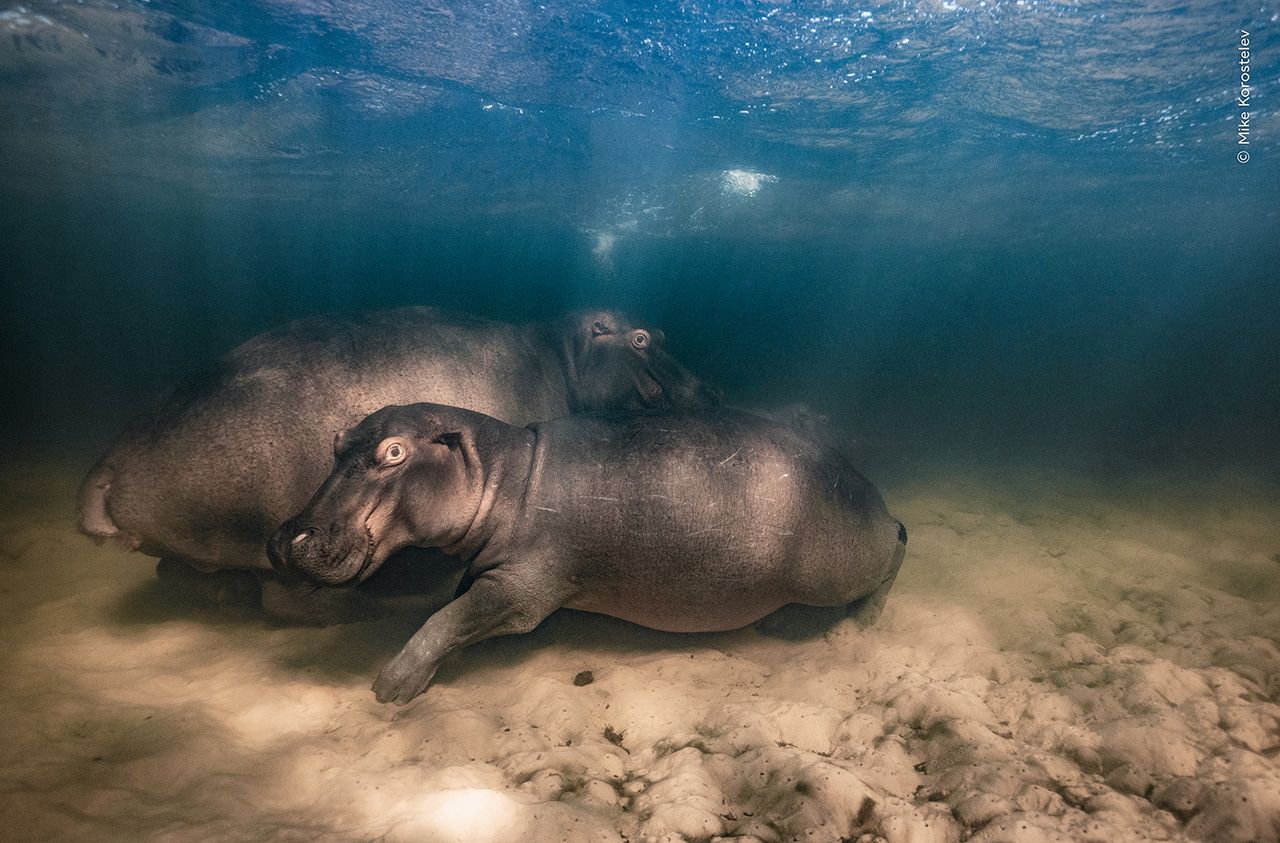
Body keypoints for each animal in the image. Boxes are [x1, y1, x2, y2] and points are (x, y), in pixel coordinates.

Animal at [269, 403, 907, 704]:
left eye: (395, 451)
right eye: (336, 441)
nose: (285, 538)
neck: (503, 474)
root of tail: (871, 491)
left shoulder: (521, 590)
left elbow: (448, 619)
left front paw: (391, 686)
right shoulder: (486, 571)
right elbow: (450, 609)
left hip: (837, 569)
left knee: (896, 546)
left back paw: (865, 622)